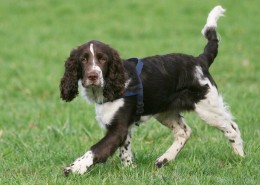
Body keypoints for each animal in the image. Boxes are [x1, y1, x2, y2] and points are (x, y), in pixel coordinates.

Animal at [60, 5, 245, 176]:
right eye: (83, 60)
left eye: (103, 59)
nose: (92, 76)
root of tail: (200, 61)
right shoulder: (124, 127)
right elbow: (125, 150)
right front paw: (129, 169)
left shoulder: (118, 128)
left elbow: (96, 149)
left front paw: (74, 168)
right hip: (165, 112)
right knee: (184, 132)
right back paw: (164, 160)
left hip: (208, 107)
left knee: (232, 128)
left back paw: (240, 158)